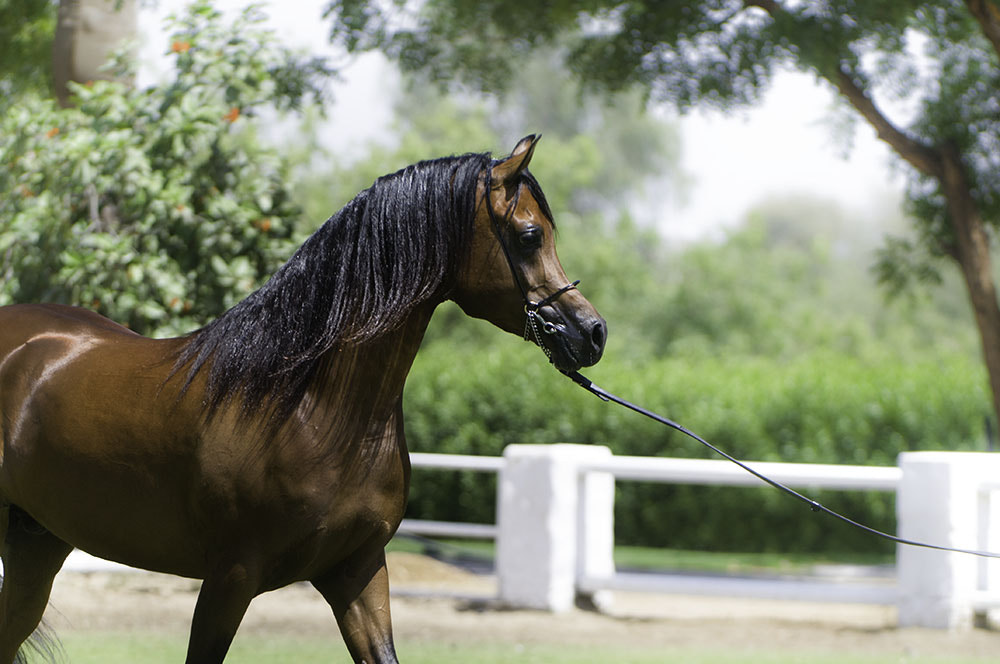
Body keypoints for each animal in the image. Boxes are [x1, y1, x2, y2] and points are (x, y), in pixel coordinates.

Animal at [0, 135, 606, 663]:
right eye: (529, 235)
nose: (592, 333)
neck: (310, 409)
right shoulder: (229, 578)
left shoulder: (357, 572)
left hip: (37, 544)